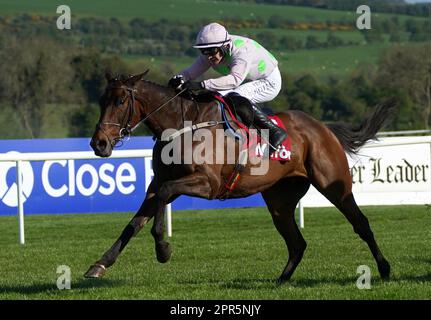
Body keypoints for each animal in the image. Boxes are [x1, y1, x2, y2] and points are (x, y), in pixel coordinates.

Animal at [85, 71, 398, 284]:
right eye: (101, 100)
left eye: (121, 100)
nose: (98, 143)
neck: (182, 126)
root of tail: (322, 127)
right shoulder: (158, 182)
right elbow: (134, 222)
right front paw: (100, 264)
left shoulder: (207, 185)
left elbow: (162, 199)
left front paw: (163, 249)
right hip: (279, 200)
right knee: (297, 242)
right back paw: (281, 280)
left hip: (334, 184)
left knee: (361, 223)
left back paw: (384, 269)